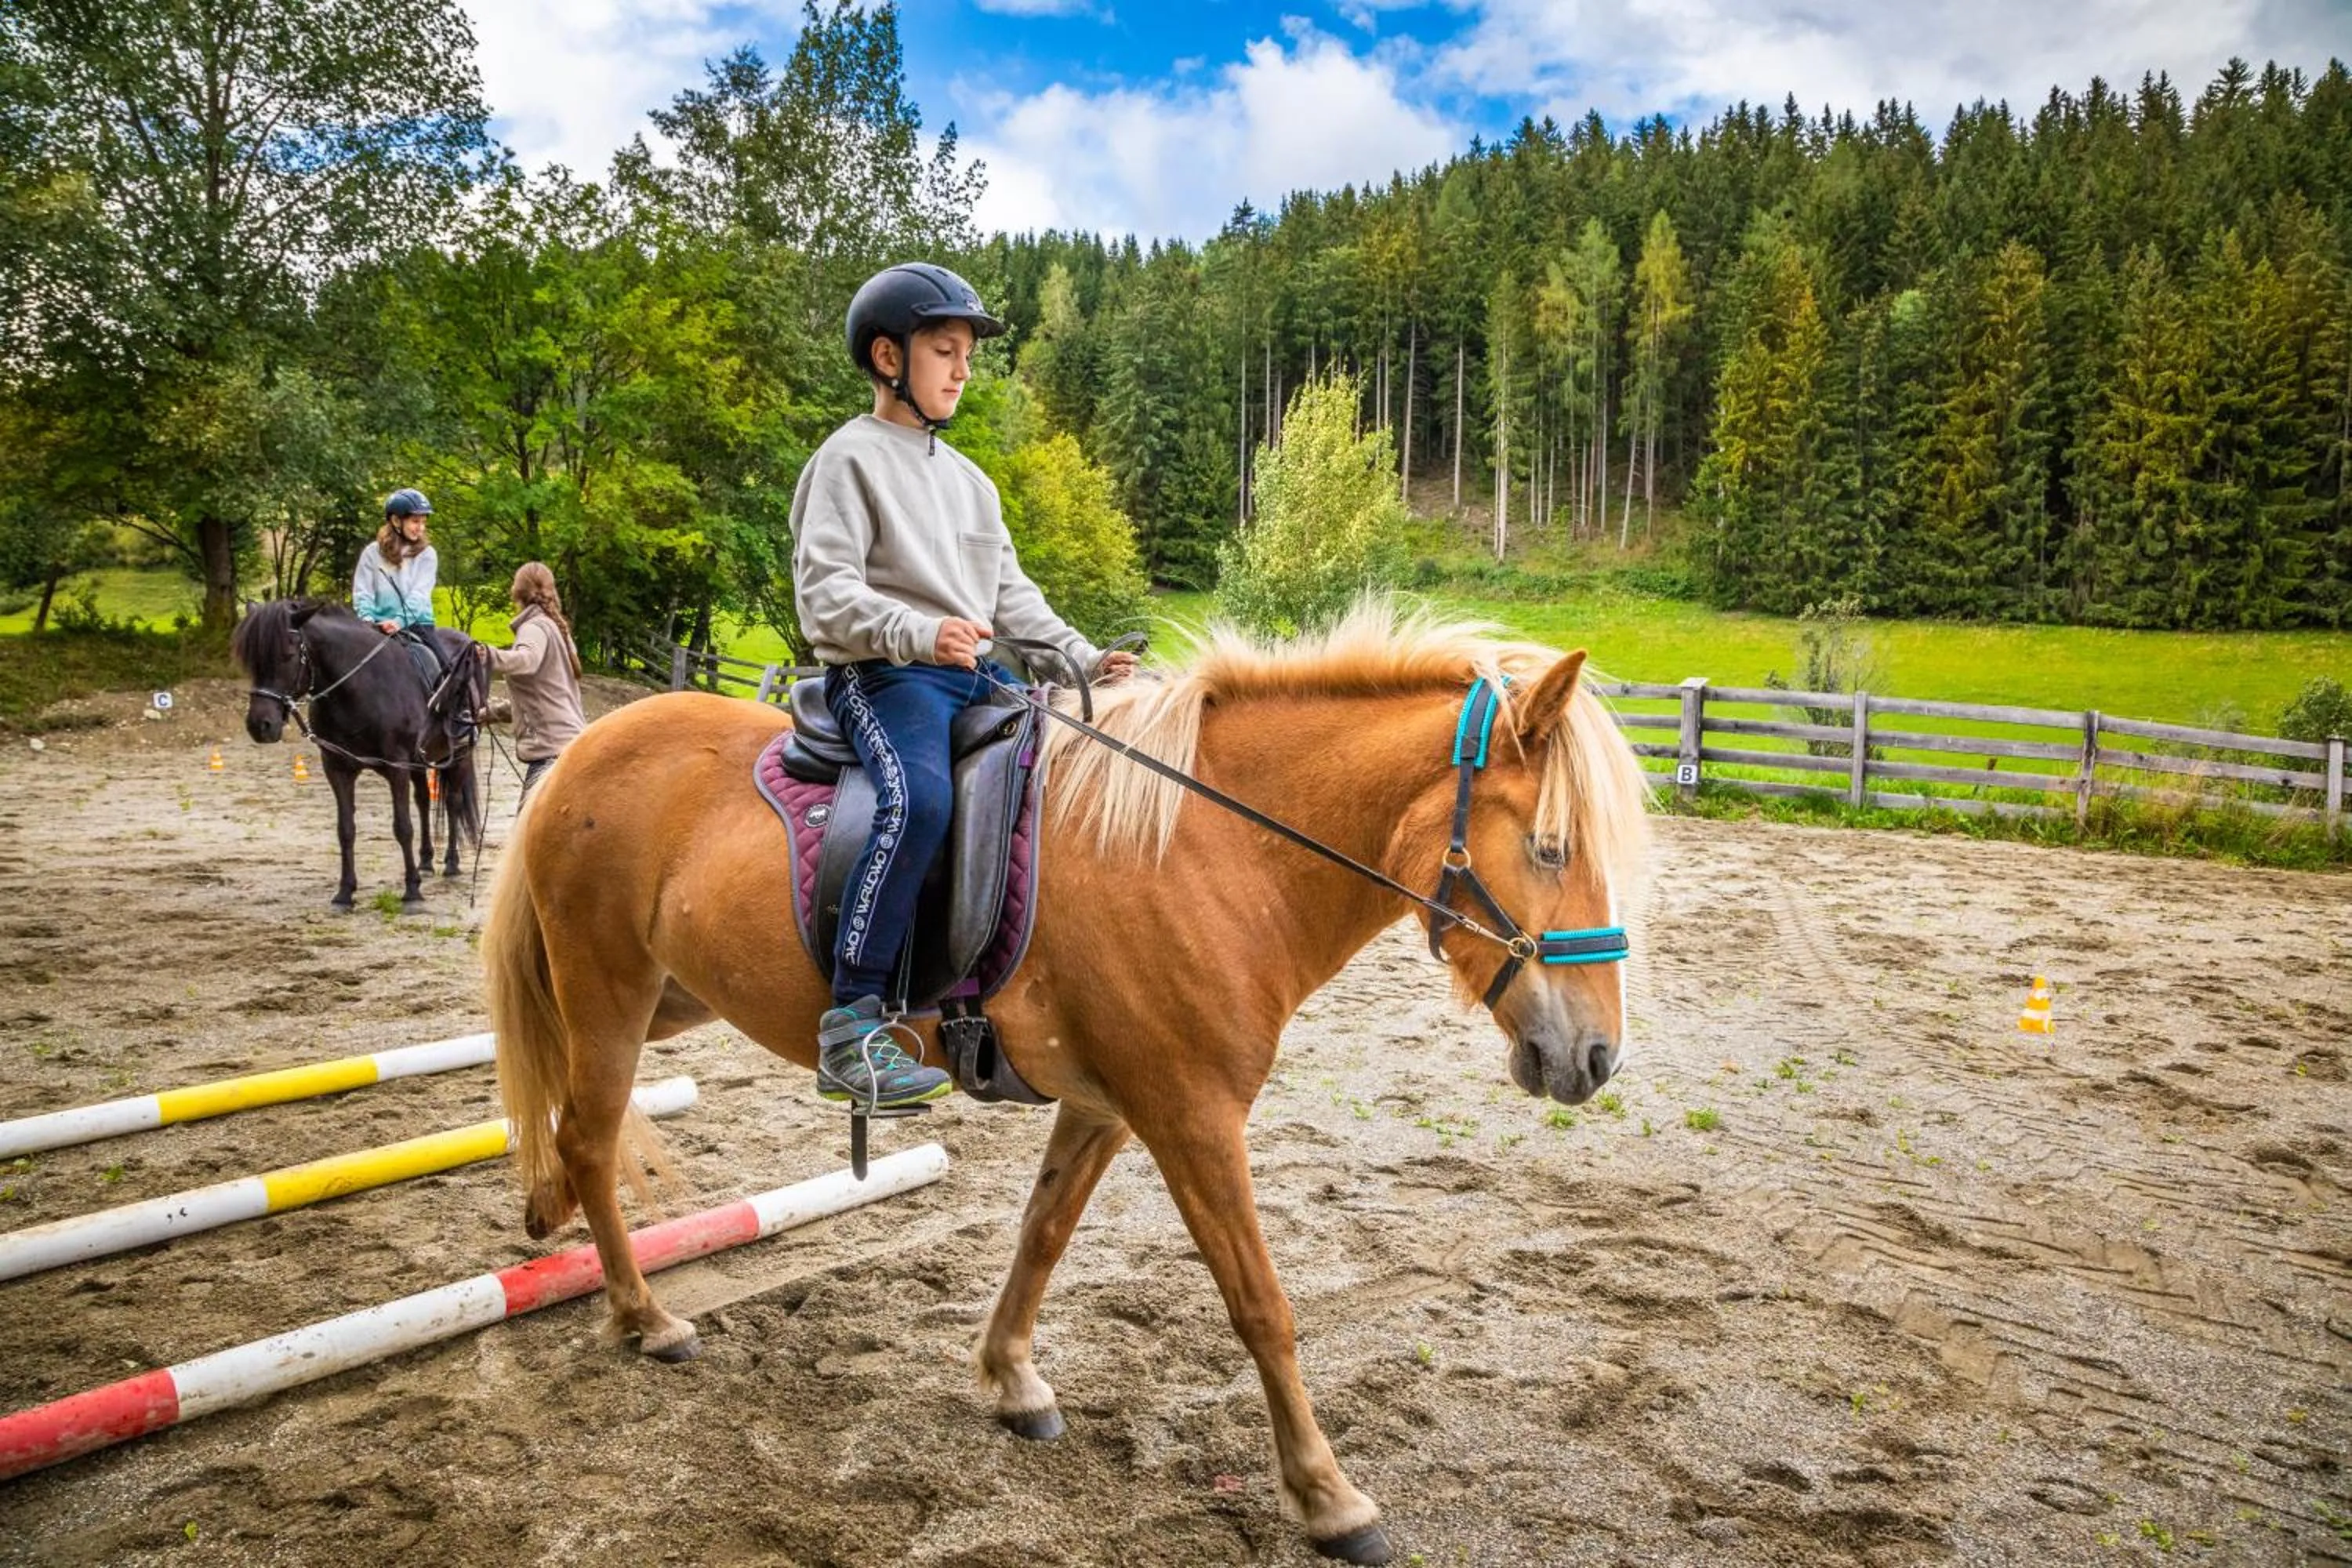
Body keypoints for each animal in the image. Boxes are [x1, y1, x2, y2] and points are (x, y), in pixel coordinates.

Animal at [232, 598, 485, 907]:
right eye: (251, 660)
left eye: (287, 656)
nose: (260, 726)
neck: (361, 688)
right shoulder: (338, 768)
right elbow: (346, 830)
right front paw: (345, 892)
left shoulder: (396, 766)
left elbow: (403, 827)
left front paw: (411, 891)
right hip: (420, 762)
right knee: (424, 801)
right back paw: (426, 862)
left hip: (458, 755)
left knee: (452, 801)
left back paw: (450, 862)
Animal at [480, 601, 1650, 1565]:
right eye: (1551, 847)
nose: (1595, 1056)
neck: (1208, 849)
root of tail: (585, 748)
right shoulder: (1192, 1118)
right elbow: (1261, 1304)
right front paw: (1328, 1496)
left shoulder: (1106, 1108)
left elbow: (1041, 1237)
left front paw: (1010, 1379)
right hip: (610, 991)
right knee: (590, 1138)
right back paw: (643, 1315)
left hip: (665, 997)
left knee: (568, 1124)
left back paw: (556, 1224)